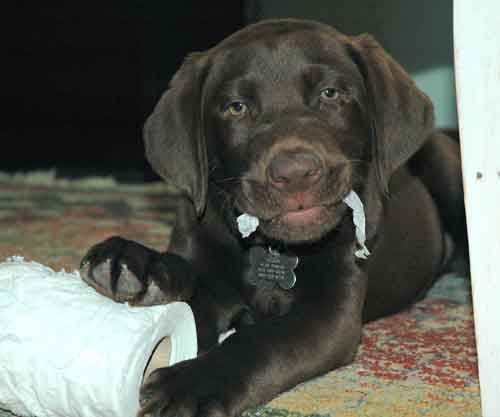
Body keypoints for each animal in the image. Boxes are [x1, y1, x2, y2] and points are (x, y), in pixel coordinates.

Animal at [81, 19, 466, 417]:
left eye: (330, 93)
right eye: (236, 107)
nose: (295, 174)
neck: (272, 250)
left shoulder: (332, 313)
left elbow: (262, 342)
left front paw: (191, 384)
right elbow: (193, 290)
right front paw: (140, 266)